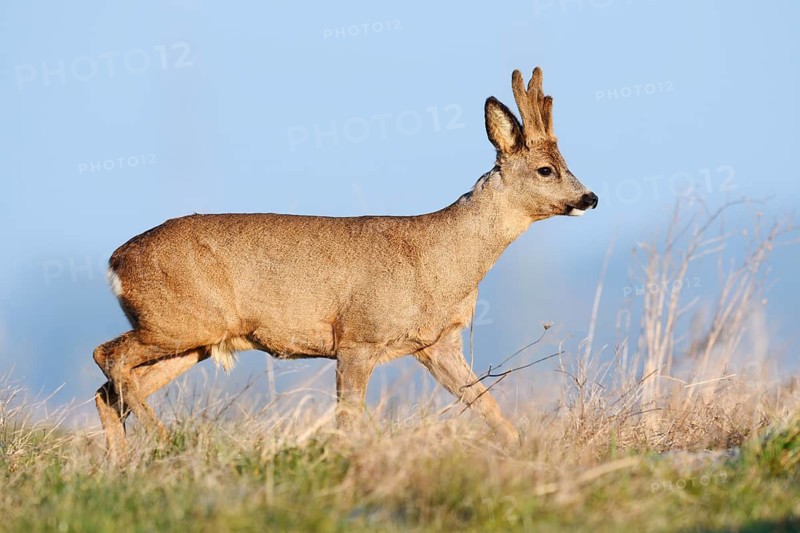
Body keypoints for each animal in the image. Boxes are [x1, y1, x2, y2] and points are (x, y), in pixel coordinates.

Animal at [94, 67, 598, 456]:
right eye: (546, 170)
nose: (589, 198)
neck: (440, 257)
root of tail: (116, 260)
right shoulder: (358, 336)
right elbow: (348, 420)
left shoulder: (438, 343)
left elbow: (488, 405)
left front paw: (524, 454)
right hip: (177, 320)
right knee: (108, 357)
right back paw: (163, 441)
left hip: (195, 337)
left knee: (109, 389)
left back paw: (123, 465)